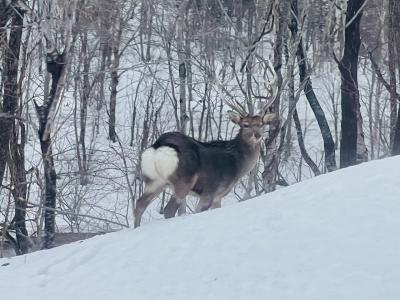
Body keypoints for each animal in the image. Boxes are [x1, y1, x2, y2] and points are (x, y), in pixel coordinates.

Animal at [134, 62, 278, 227]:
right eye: (245, 125)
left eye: (261, 124)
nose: (257, 135)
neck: (237, 164)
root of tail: (159, 145)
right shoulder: (211, 191)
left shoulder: (218, 196)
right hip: (183, 180)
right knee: (168, 209)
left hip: (155, 180)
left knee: (139, 204)